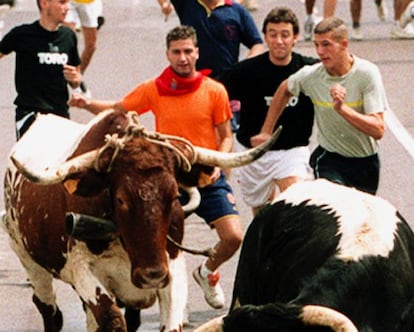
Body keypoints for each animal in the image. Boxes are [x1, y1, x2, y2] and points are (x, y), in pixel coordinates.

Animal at [1, 110, 280, 330]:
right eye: (121, 199)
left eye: (173, 195)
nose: (151, 275)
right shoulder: (81, 269)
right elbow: (112, 319)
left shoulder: (171, 266)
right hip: (29, 260)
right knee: (48, 309)